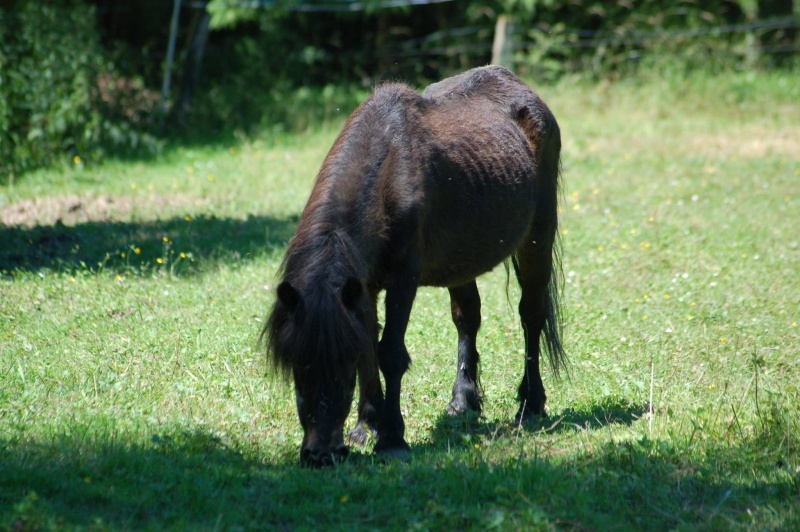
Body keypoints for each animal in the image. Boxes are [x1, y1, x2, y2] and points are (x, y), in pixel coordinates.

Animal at [260, 65, 564, 466]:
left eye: (342, 363)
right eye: (297, 363)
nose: (321, 454)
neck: (389, 174)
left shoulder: (402, 280)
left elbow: (389, 352)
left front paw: (392, 438)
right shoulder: (363, 286)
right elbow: (370, 347)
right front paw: (366, 427)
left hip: (536, 239)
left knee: (531, 315)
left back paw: (530, 405)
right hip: (462, 259)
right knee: (468, 318)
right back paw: (462, 402)